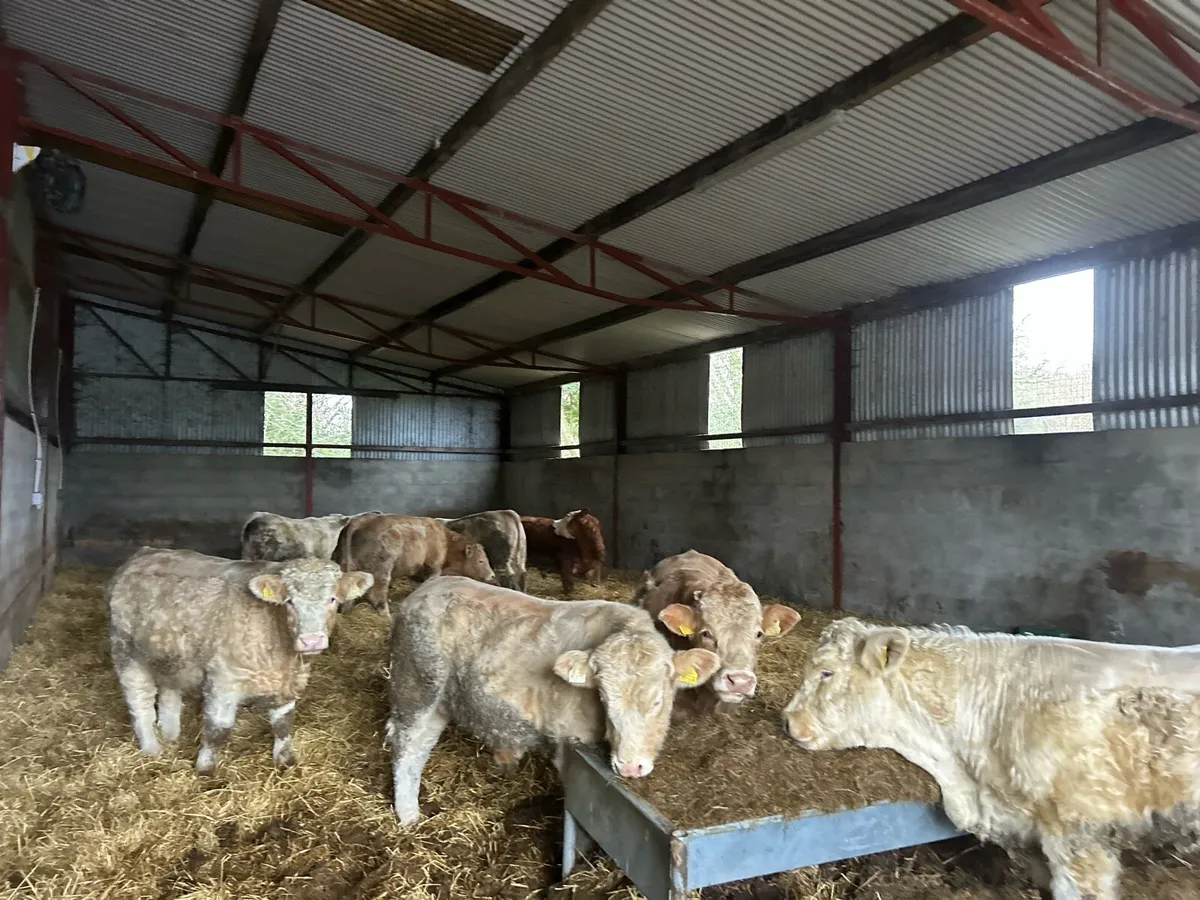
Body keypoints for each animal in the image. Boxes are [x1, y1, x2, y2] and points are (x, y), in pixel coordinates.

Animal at [106, 547, 373, 774]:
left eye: (332, 599)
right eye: (289, 601)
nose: (311, 641)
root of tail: (144, 554)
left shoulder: (287, 682)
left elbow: (283, 723)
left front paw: (285, 761)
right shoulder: (224, 680)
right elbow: (218, 729)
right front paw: (205, 769)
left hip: (169, 657)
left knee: (169, 694)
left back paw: (171, 734)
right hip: (127, 654)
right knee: (140, 702)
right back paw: (152, 748)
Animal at [335, 515, 495, 618]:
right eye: (481, 561)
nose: (492, 575)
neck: (446, 542)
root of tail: (358, 522)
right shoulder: (434, 567)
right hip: (381, 571)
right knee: (377, 595)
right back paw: (387, 616)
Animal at [386, 575, 720, 824]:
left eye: (658, 701)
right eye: (604, 698)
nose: (629, 767)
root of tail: (427, 587)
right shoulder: (565, 741)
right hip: (417, 688)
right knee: (409, 748)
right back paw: (409, 815)